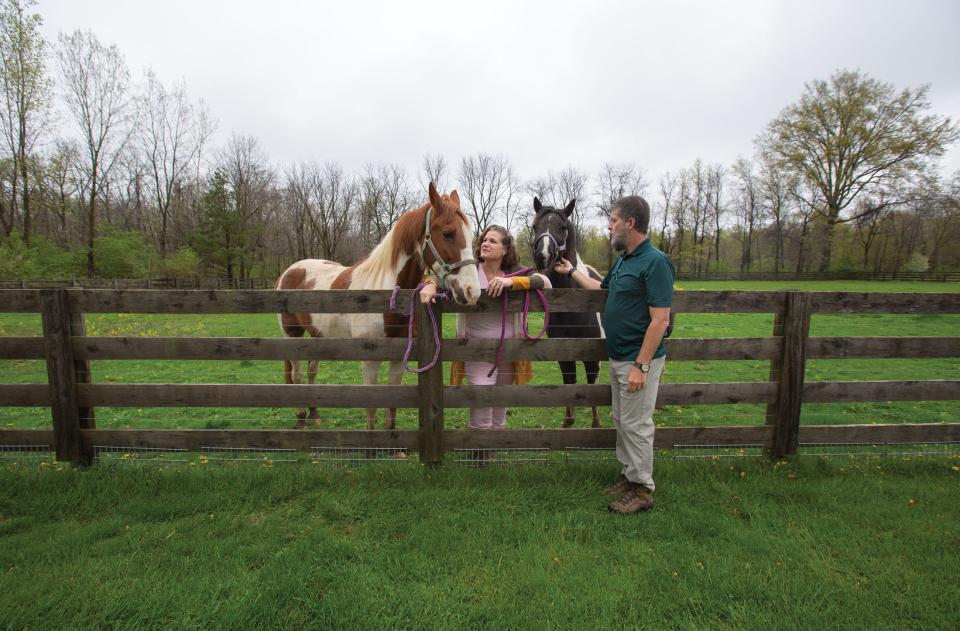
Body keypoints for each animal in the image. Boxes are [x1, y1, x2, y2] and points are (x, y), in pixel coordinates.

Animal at [278, 183, 480, 430]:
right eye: (448, 234)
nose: (472, 291)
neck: (384, 293)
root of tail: (291, 270)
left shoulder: (398, 360)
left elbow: (392, 404)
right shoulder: (370, 361)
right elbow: (372, 406)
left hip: (317, 336)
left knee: (311, 372)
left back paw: (314, 413)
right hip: (293, 336)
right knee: (297, 375)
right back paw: (300, 419)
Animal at [528, 198, 604, 430]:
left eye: (562, 227)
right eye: (534, 226)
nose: (542, 256)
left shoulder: (592, 356)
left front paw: (596, 423)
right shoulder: (563, 353)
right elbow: (569, 382)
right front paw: (568, 420)